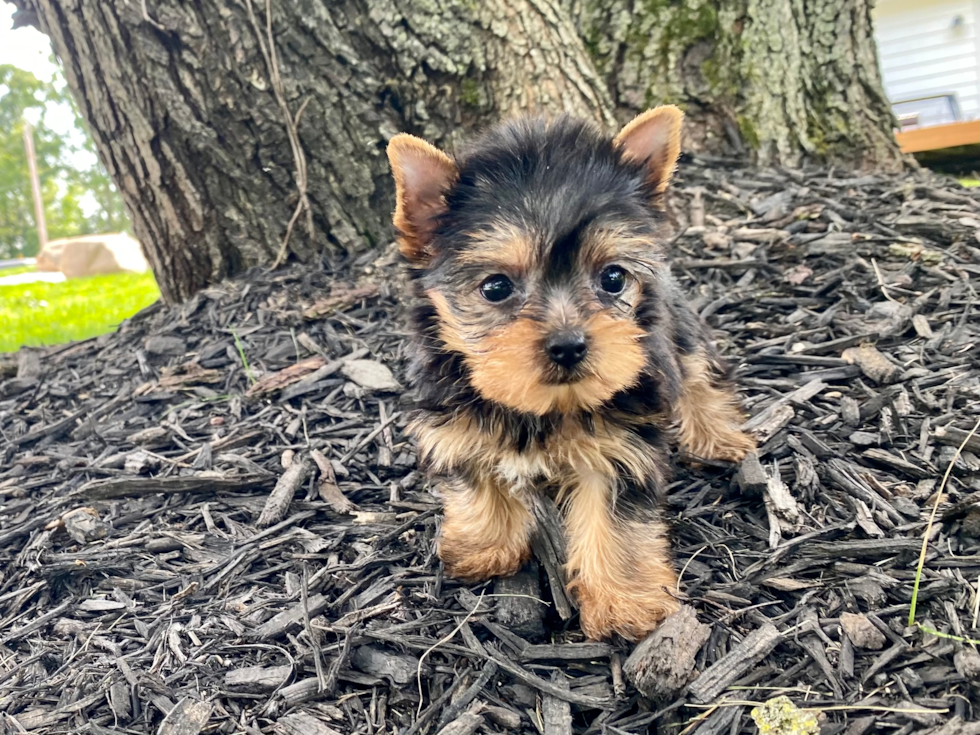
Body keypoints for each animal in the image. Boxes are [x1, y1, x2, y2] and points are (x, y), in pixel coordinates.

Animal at [386, 106, 756, 640]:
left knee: (699, 374)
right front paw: (485, 545)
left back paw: (716, 437)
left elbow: (614, 518)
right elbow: (476, 476)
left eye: (613, 278)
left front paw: (624, 602)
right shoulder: (454, 420)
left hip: (677, 330)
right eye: (496, 287)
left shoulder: (620, 445)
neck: (542, 407)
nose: (568, 345)